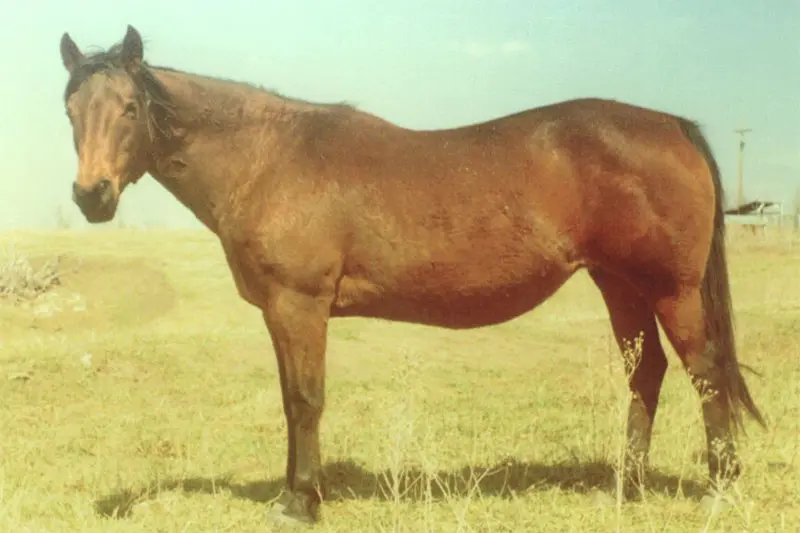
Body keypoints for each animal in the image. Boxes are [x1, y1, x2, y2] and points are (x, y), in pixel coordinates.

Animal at [58, 25, 765, 527]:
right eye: (70, 110)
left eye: (128, 108)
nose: (91, 196)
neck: (266, 158)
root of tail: (671, 126)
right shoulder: (282, 314)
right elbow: (291, 401)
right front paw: (292, 493)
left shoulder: (299, 306)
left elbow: (304, 400)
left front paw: (300, 502)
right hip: (617, 284)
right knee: (646, 374)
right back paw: (625, 489)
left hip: (671, 290)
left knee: (706, 373)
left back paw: (718, 491)